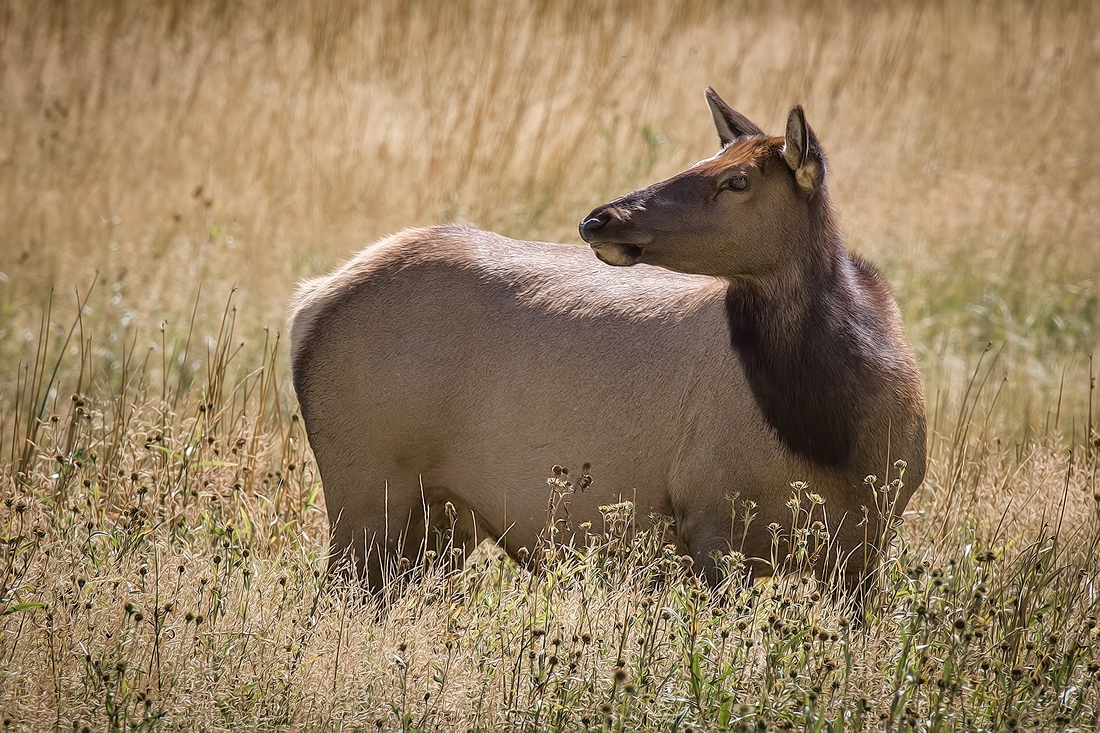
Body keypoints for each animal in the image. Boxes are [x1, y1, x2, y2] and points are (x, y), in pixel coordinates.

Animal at [288, 88, 924, 594]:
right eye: (706, 158)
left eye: (736, 179)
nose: (601, 218)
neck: (836, 432)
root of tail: (311, 301)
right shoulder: (712, 524)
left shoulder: (867, 542)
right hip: (365, 489)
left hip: (440, 522)